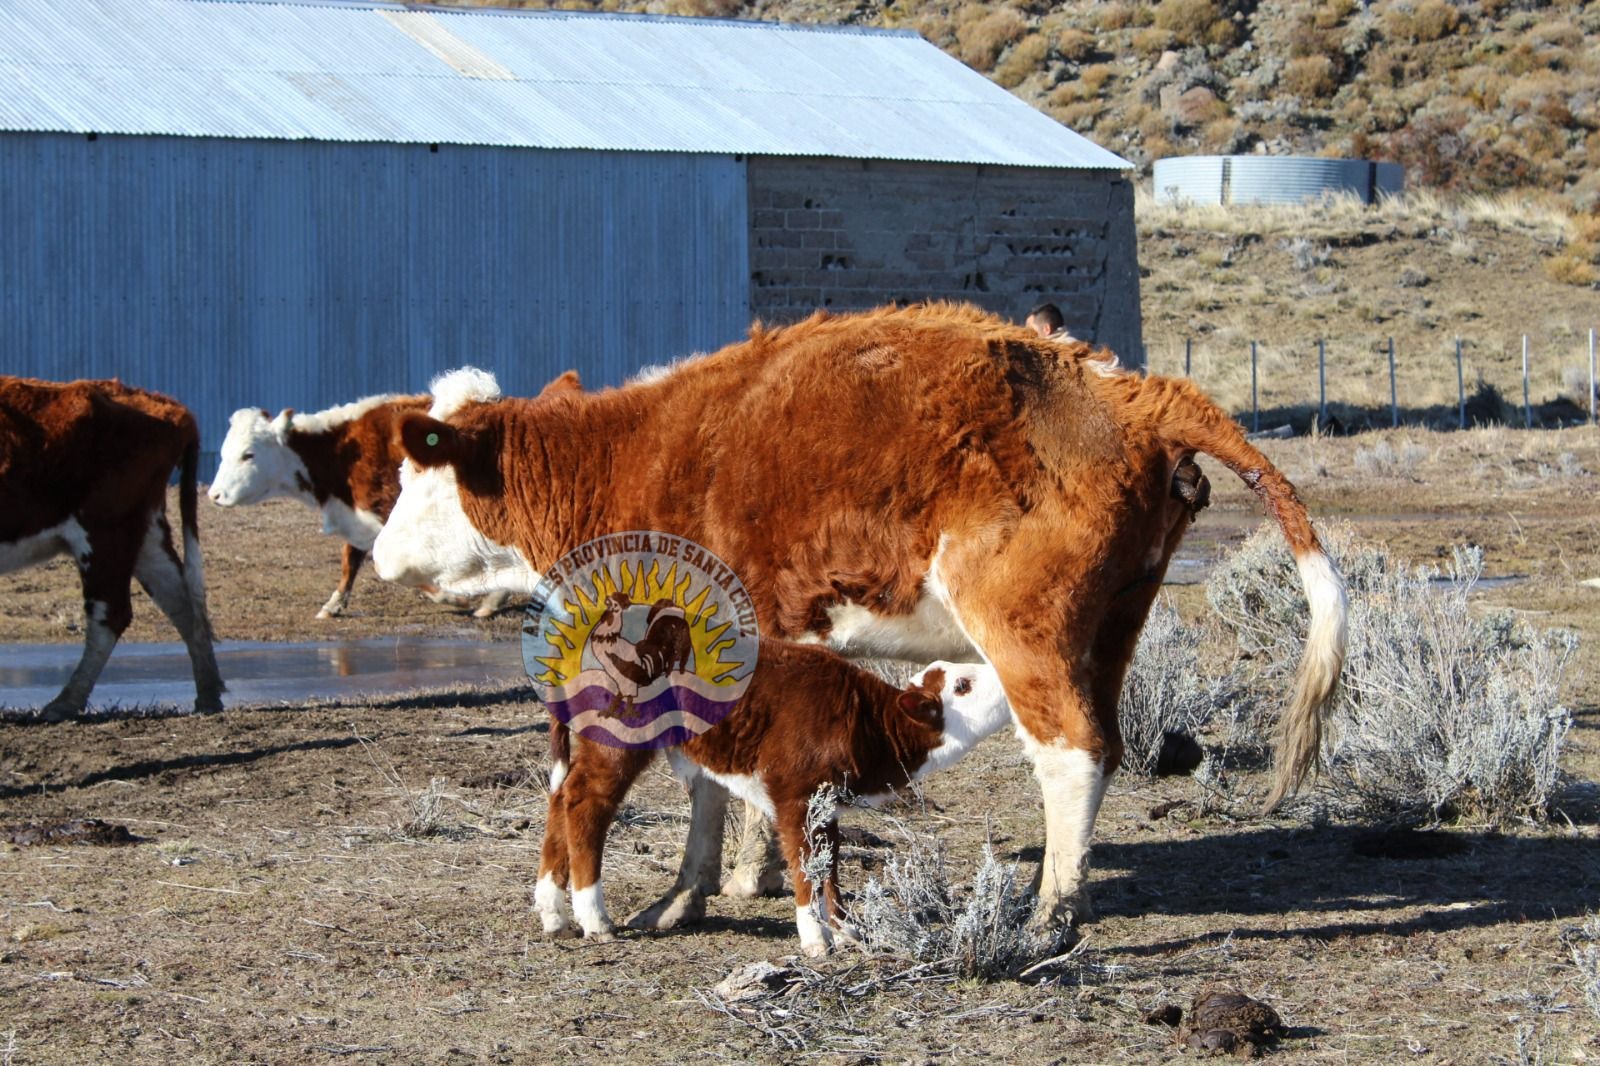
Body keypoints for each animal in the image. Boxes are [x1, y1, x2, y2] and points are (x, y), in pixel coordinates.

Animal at [0, 371, 227, 713]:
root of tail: (168, 406)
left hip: (105, 534)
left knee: (111, 614)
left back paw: (65, 702)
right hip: (145, 534)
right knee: (182, 602)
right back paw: (209, 693)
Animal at [208, 371, 582, 614]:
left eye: (248, 454)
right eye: (224, 451)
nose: (214, 496)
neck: (341, 450)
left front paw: (451, 597)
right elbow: (350, 559)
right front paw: (334, 603)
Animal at [537, 640, 1011, 953]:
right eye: (963, 685)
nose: (1005, 674)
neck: (866, 720)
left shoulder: (826, 803)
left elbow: (828, 865)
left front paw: (844, 929)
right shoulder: (793, 794)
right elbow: (803, 862)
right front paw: (815, 940)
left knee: (561, 795)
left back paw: (553, 913)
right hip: (618, 738)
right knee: (585, 801)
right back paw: (594, 918)